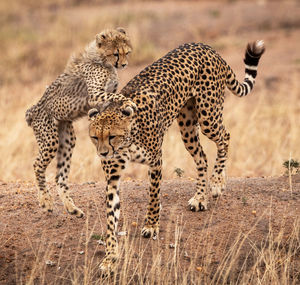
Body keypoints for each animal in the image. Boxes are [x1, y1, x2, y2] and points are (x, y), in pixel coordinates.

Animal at [25, 27, 133, 216]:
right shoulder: (95, 95)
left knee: (60, 176)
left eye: (126, 52)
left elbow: (113, 101)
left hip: (67, 140)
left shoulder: (104, 98)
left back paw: (71, 207)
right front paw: (129, 102)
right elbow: (118, 96)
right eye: (115, 53)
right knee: (37, 164)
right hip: (50, 140)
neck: (103, 61)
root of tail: (33, 109)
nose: (124, 65)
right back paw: (45, 200)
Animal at [87, 39, 264, 268]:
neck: (127, 140)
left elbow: (153, 196)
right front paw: (110, 258)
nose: (103, 153)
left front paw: (151, 226)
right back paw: (200, 197)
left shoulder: (155, 162)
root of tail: (204, 46)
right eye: (95, 137)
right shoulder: (113, 176)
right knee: (202, 157)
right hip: (187, 125)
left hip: (208, 116)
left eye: (112, 136)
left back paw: (217, 182)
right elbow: (111, 217)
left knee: (225, 137)